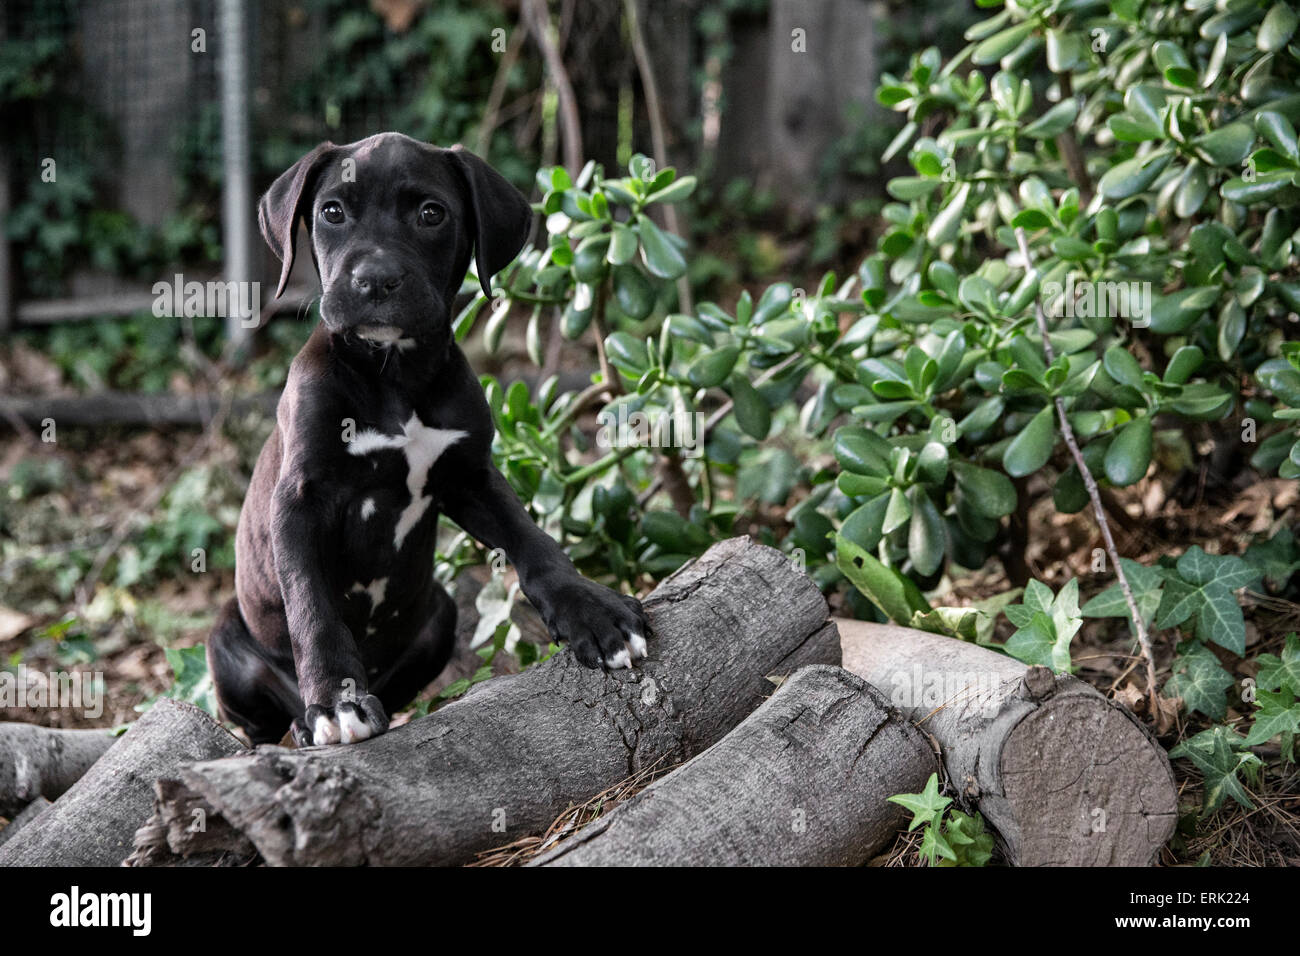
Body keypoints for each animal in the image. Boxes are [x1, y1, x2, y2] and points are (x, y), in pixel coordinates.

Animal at [210, 132, 650, 749]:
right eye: (332, 212)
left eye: (430, 214)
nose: (374, 280)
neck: (394, 375)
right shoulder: (299, 500)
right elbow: (311, 604)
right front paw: (336, 703)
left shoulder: (470, 477)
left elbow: (534, 541)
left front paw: (592, 611)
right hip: (227, 640)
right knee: (257, 719)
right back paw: (303, 717)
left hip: (438, 613)